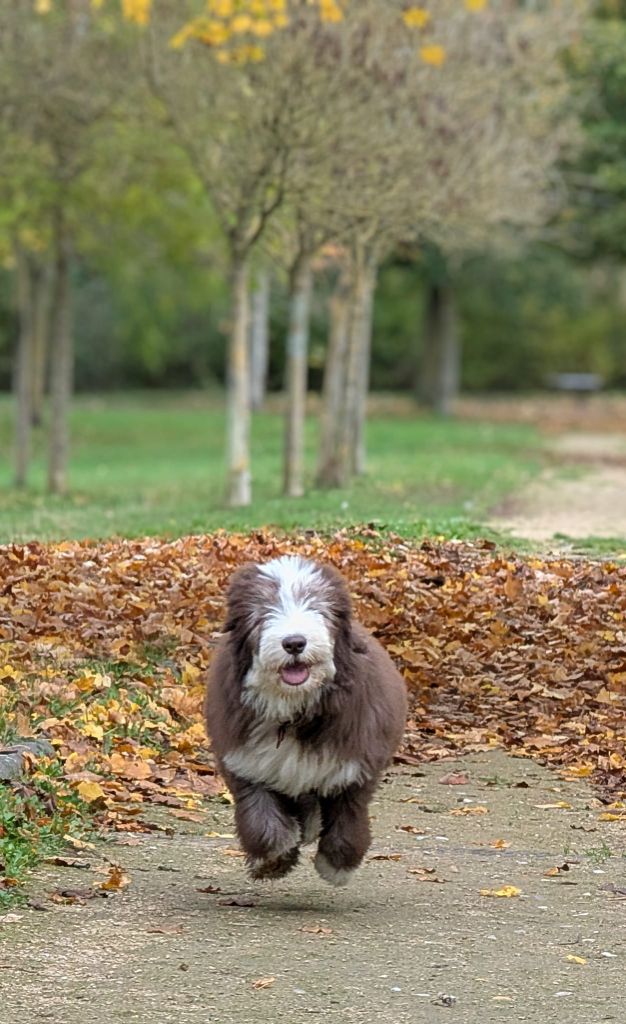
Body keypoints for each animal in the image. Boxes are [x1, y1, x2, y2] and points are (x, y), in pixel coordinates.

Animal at [205, 557, 409, 884]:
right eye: (263, 612)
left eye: (317, 607)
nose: (294, 643)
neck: (295, 710)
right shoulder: (247, 761)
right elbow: (260, 817)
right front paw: (273, 860)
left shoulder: (354, 766)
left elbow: (348, 820)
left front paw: (335, 866)